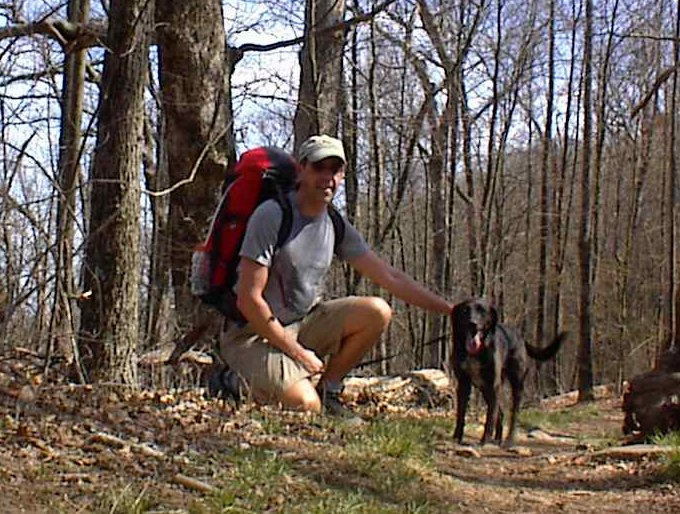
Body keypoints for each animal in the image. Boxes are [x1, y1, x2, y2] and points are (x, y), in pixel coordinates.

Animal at [448, 296, 564, 444]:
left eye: (481, 310)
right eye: (465, 310)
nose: (472, 323)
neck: (476, 352)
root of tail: (521, 337)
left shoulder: (493, 384)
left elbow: (490, 417)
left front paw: (485, 440)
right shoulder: (463, 384)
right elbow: (461, 413)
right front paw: (457, 437)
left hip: (516, 384)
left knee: (513, 413)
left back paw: (509, 439)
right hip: (486, 388)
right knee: (500, 413)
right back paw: (498, 438)